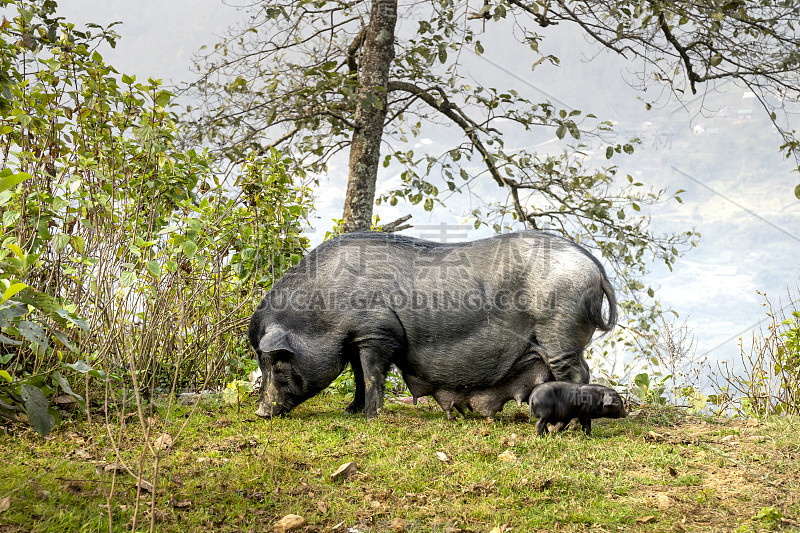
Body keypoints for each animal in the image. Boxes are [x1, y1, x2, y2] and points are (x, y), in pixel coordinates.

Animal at [250, 231, 620, 418]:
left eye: (277, 362)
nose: (261, 413)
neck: (321, 310)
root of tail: (593, 264)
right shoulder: (357, 339)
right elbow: (357, 376)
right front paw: (349, 412)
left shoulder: (378, 334)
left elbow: (371, 376)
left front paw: (371, 418)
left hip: (560, 334)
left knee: (577, 374)